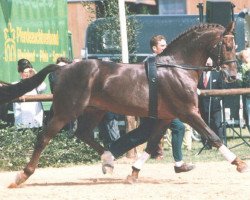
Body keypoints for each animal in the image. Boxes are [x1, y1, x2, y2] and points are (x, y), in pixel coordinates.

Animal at [8, 21, 250, 188]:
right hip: (66, 111)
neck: (177, 68)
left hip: (94, 110)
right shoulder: (188, 112)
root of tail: (64, 67)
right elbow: (213, 136)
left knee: (84, 133)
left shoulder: (165, 117)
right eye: (227, 46)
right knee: (44, 137)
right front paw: (239, 163)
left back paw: (108, 161)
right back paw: (22, 175)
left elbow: (151, 144)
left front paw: (133, 174)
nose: (232, 76)